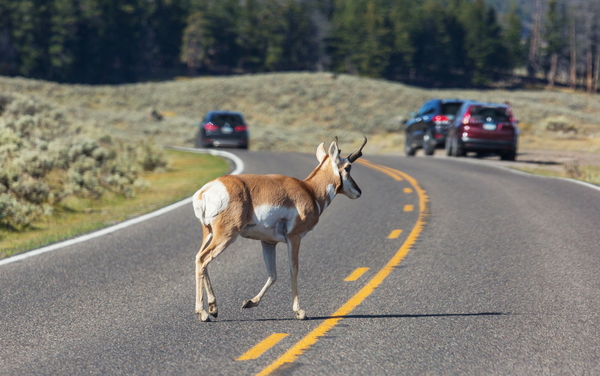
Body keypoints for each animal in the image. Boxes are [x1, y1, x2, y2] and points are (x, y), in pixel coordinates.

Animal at [195, 137, 368, 322]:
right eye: (348, 167)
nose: (359, 191)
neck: (310, 191)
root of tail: (206, 190)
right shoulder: (294, 237)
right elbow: (294, 269)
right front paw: (300, 311)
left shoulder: (268, 242)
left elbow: (273, 274)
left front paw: (250, 302)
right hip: (226, 235)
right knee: (203, 259)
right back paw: (203, 312)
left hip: (209, 233)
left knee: (200, 258)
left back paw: (213, 308)